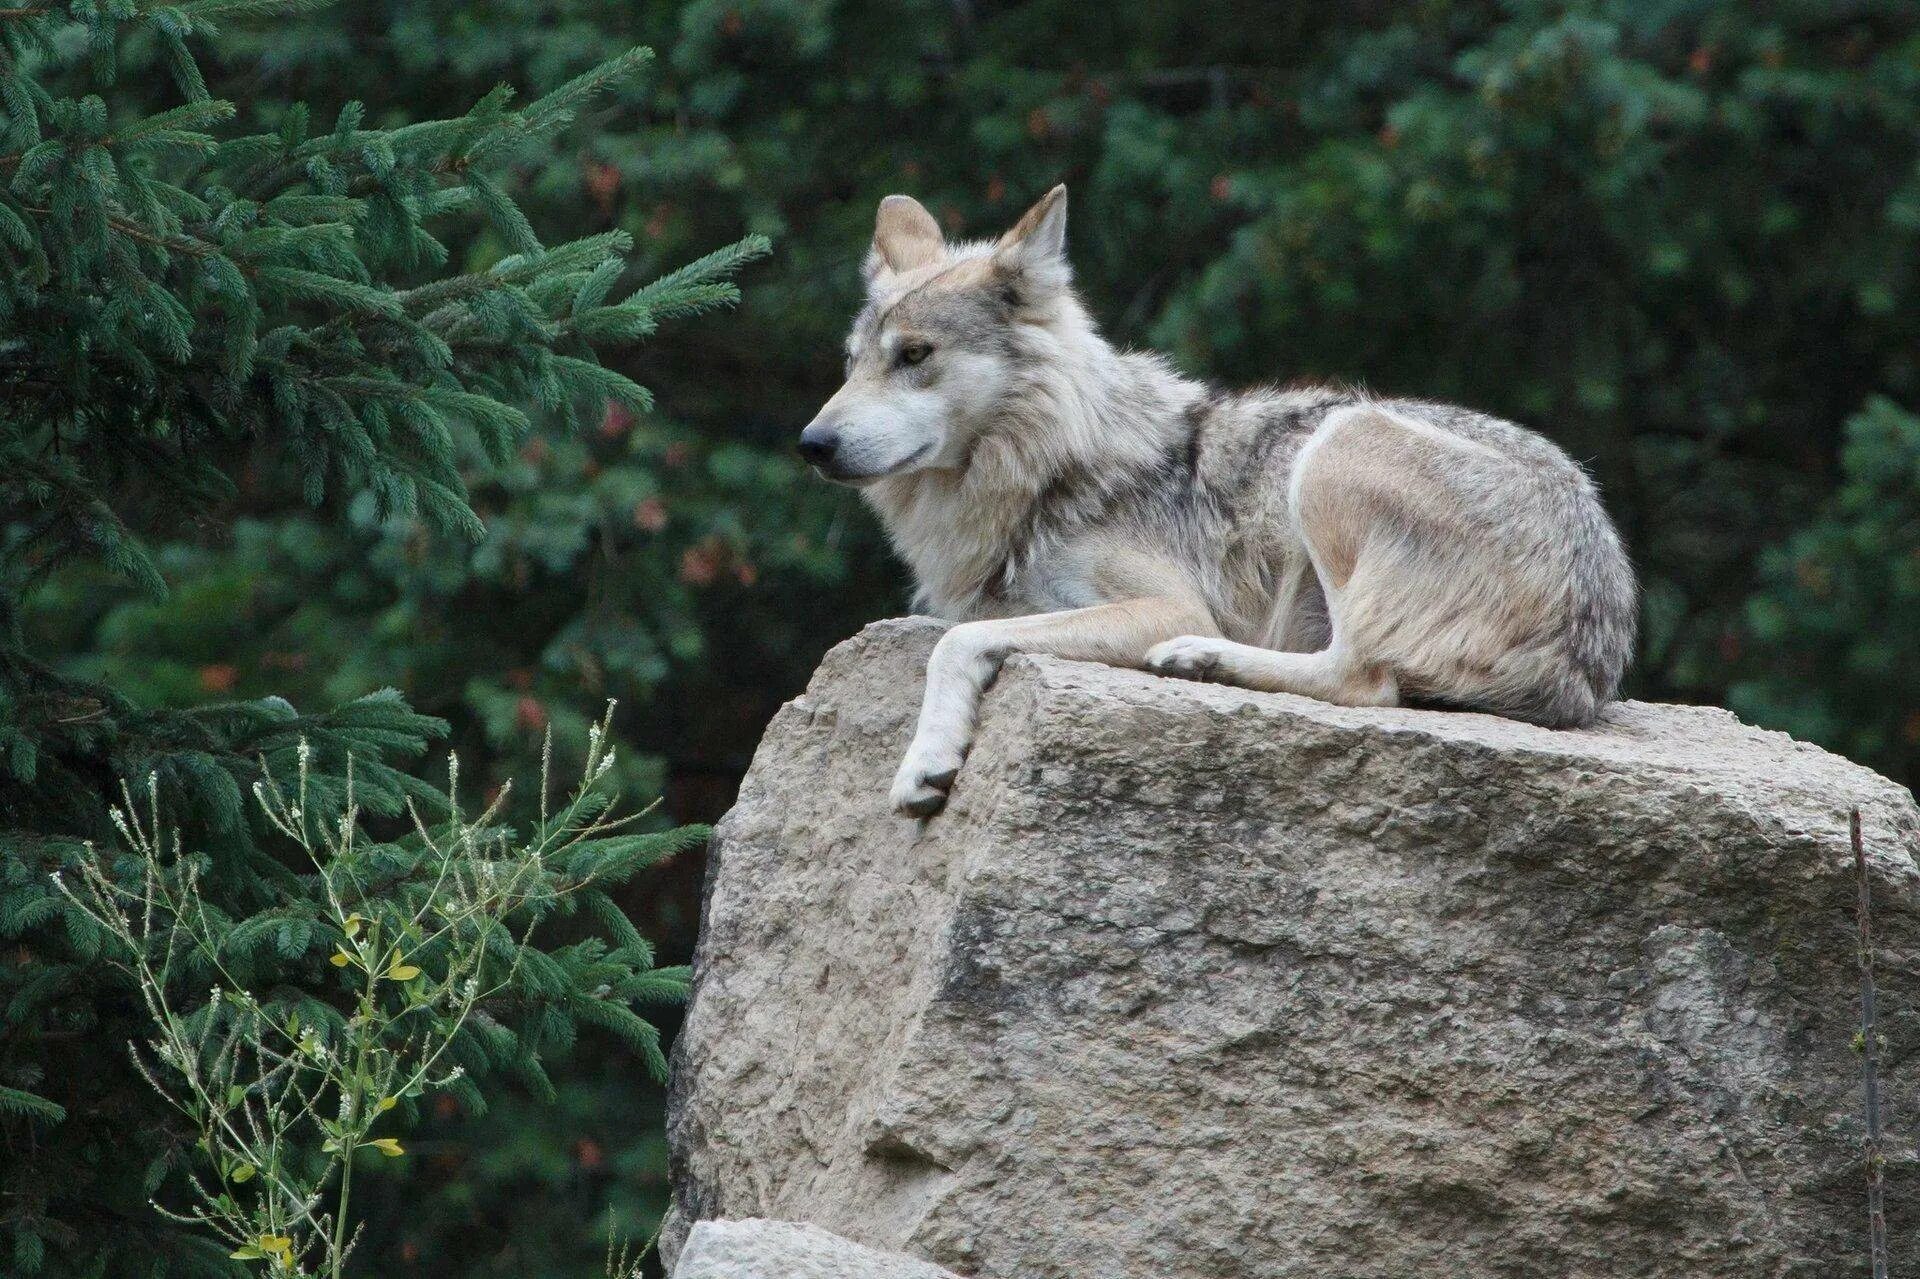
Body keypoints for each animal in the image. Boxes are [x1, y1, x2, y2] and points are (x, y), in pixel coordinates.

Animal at [794, 184, 1635, 810]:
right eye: (853, 362)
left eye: (915, 355)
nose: (812, 443)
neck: (1048, 466)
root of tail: (1592, 663)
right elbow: (958, 630)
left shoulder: (1163, 603)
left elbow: (956, 641)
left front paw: (924, 758)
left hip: (1338, 445)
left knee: (1364, 678)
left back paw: (1202, 658)